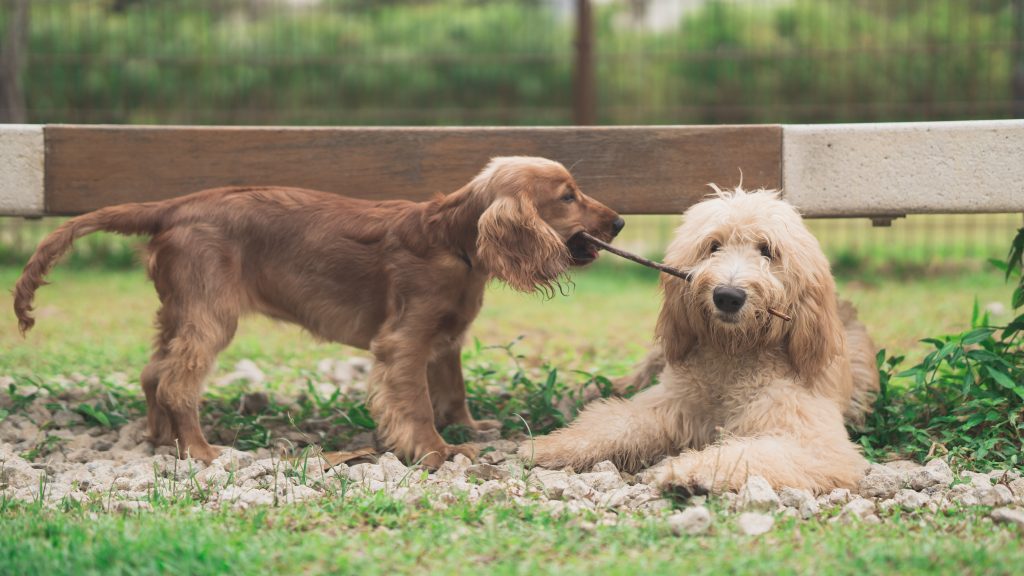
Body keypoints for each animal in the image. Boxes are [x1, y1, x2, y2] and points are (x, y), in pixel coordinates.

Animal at [16, 155, 622, 467]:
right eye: (567, 196)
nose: (618, 223)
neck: (452, 240)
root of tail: (171, 207)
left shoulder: (445, 338)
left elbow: (453, 389)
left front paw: (470, 427)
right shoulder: (404, 340)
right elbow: (418, 404)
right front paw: (436, 449)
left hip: (179, 310)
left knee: (151, 372)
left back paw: (162, 440)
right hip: (211, 315)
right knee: (174, 382)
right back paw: (200, 449)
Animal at [524, 187, 876, 494]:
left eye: (767, 250)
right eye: (713, 245)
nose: (728, 296)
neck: (732, 355)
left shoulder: (811, 440)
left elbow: (749, 452)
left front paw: (692, 472)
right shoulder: (670, 403)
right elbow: (616, 422)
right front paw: (555, 444)